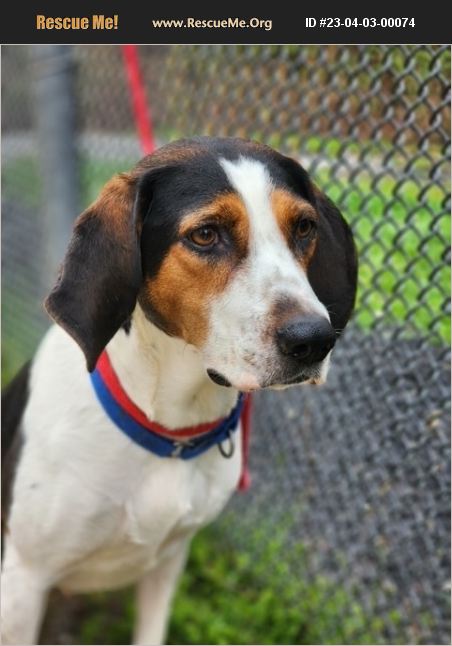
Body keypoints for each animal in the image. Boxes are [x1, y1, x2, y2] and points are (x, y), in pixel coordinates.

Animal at [1, 135, 358, 644]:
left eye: (304, 227)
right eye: (205, 235)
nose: (313, 339)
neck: (170, 426)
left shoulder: (169, 559)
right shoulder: (25, 579)